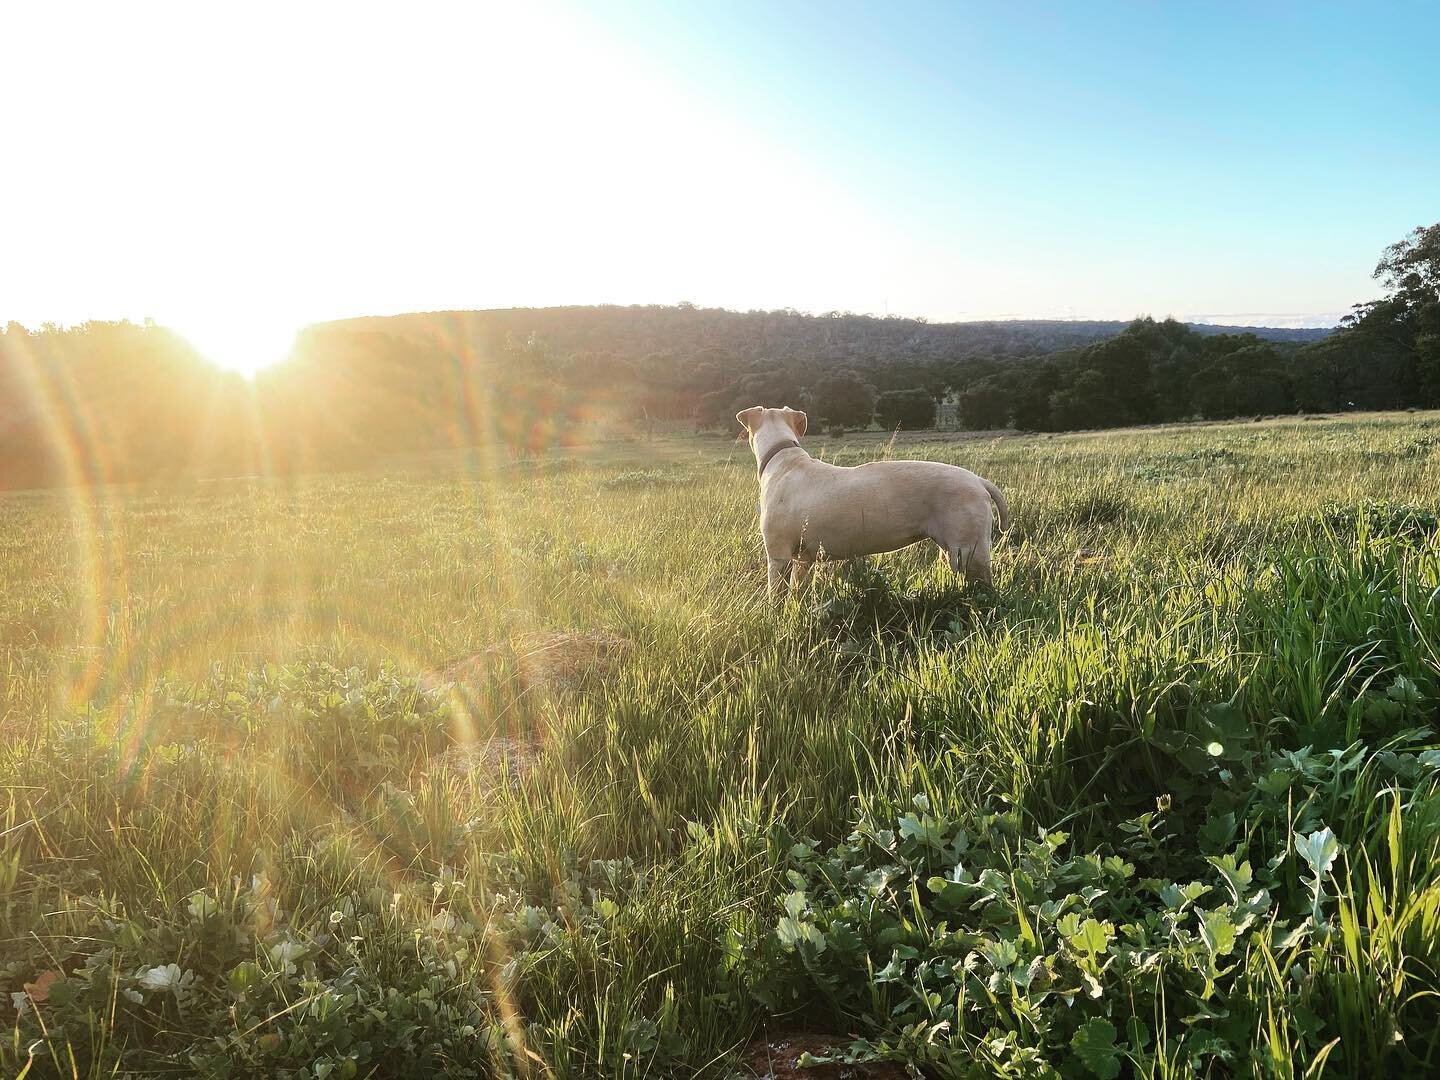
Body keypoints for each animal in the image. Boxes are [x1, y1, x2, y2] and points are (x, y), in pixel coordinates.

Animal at [737, 406, 1008, 593]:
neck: (782, 456)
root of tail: (980, 481)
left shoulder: (778, 557)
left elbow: (775, 596)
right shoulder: (802, 560)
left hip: (971, 550)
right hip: (954, 549)